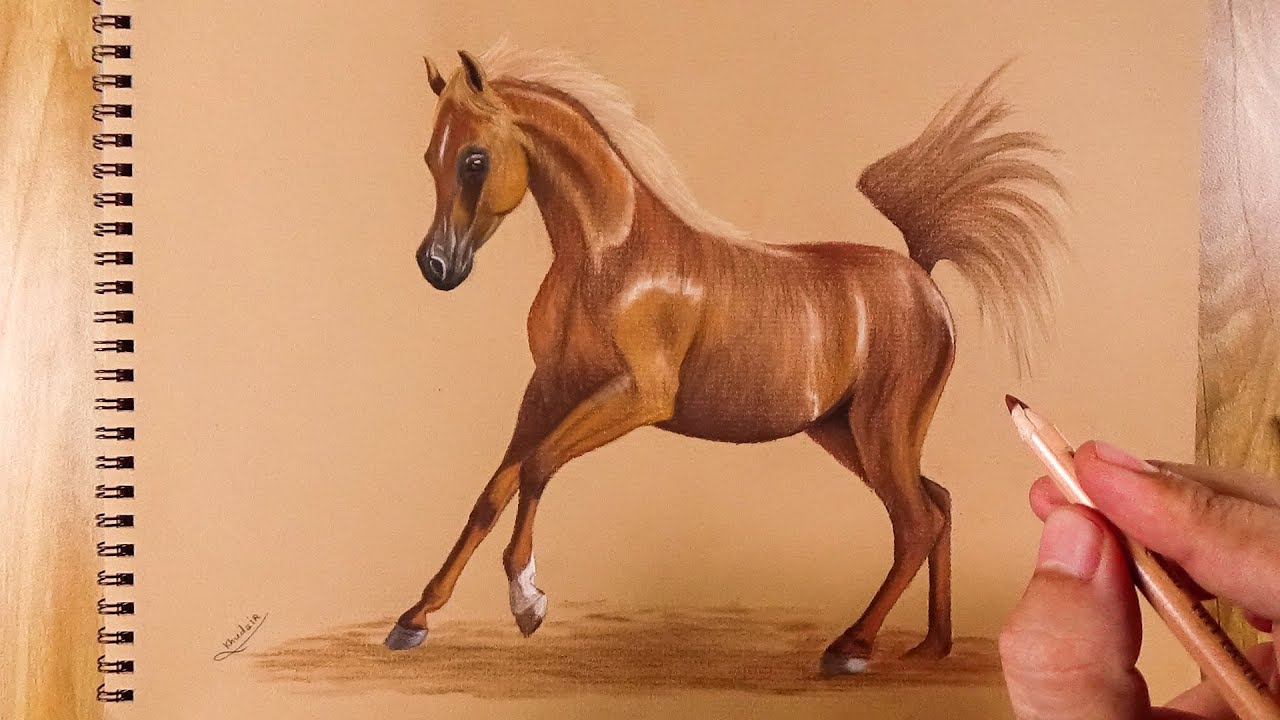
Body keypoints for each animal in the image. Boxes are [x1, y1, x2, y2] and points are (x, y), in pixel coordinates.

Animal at [386, 42, 1064, 675]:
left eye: (474, 159)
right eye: (429, 158)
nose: (436, 266)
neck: (612, 259)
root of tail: (920, 274)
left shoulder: (636, 396)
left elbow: (537, 467)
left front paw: (527, 601)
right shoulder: (549, 388)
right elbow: (493, 491)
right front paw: (414, 620)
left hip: (881, 428)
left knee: (916, 522)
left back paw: (851, 647)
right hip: (844, 432)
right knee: (938, 505)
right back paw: (930, 646)